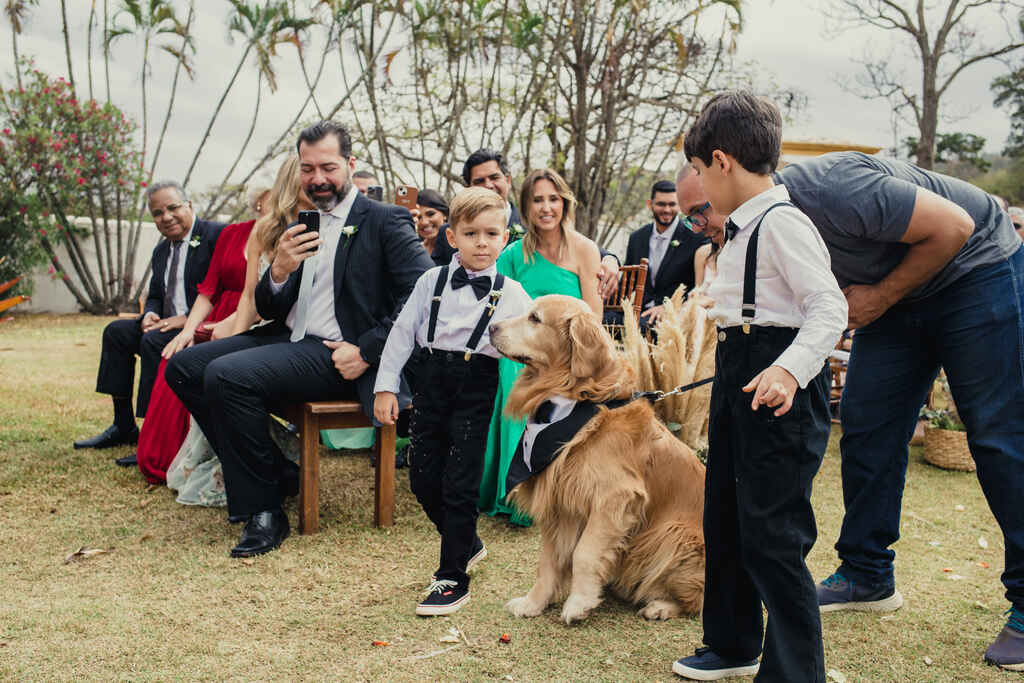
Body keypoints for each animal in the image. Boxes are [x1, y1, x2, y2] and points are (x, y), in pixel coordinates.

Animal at [487, 294, 704, 626]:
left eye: (535, 318)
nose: (490, 327)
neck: (578, 399)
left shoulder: (615, 497)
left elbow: (584, 554)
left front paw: (579, 602)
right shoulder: (559, 501)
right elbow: (548, 562)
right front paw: (533, 602)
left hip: (673, 535)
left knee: (698, 599)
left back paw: (661, 606)